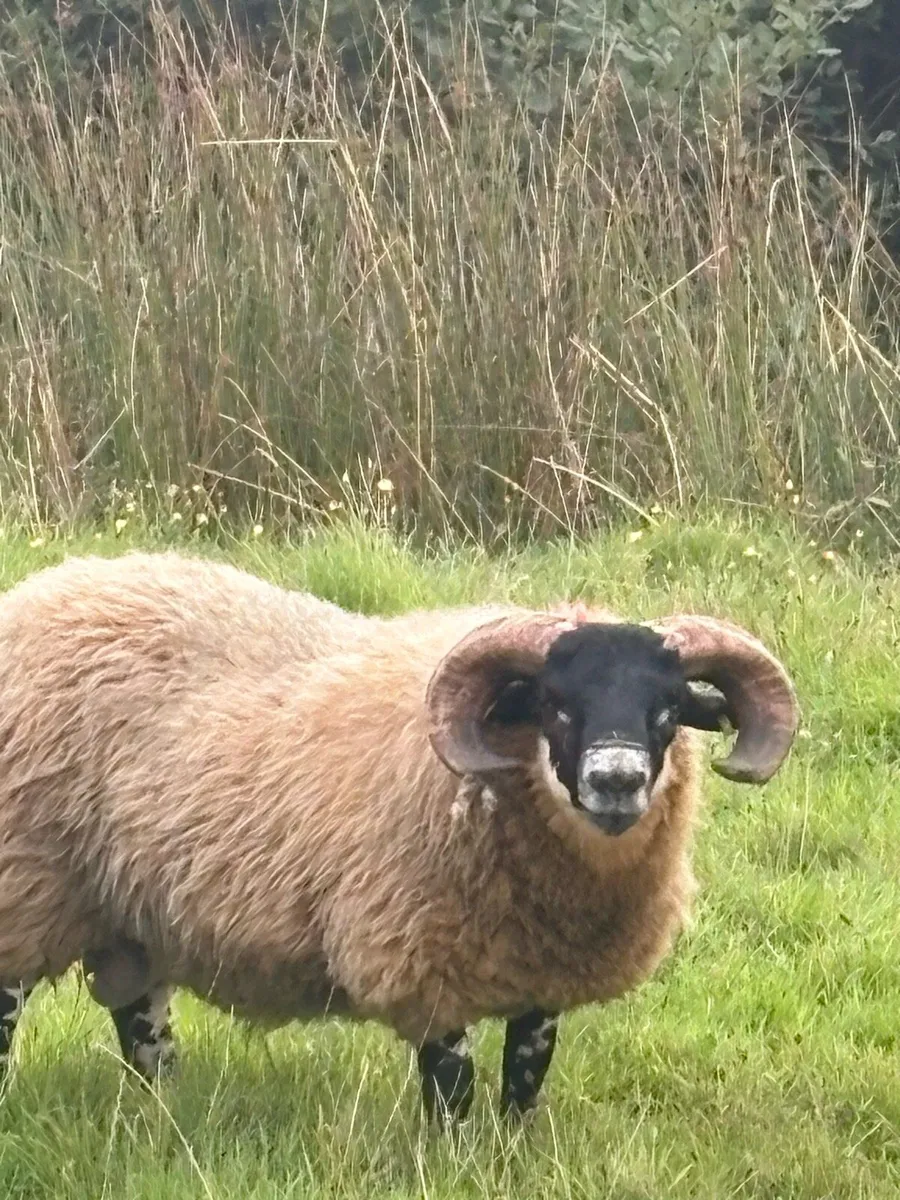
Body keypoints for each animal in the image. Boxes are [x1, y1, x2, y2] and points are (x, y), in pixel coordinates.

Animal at [0, 550, 799, 1122]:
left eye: (668, 709)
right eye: (554, 705)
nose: (616, 780)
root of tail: (39, 589)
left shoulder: (540, 975)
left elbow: (525, 1079)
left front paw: (513, 1151)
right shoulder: (424, 956)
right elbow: (451, 1089)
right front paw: (455, 1160)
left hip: (132, 911)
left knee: (142, 1026)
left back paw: (167, 1111)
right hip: (25, 889)